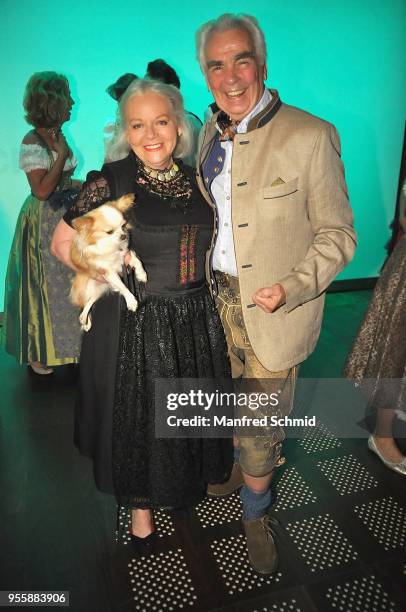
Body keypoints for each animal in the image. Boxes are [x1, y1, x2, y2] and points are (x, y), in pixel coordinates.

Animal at [70, 195, 147, 330]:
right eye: (109, 232)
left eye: (123, 226)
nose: (123, 236)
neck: (112, 247)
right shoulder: (108, 273)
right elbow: (123, 286)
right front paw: (131, 300)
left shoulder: (126, 256)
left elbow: (137, 261)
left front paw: (141, 274)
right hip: (90, 287)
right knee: (85, 304)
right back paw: (85, 320)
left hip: (98, 291)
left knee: (88, 305)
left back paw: (85, 321)